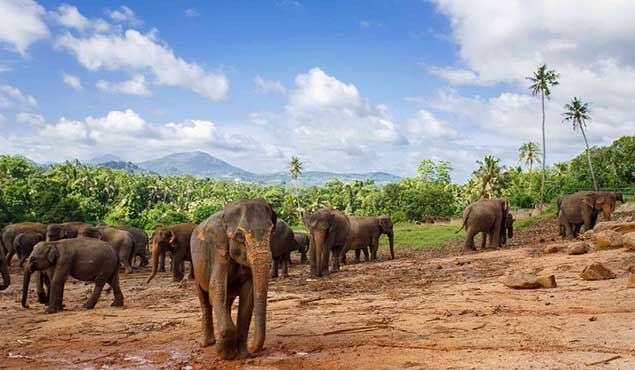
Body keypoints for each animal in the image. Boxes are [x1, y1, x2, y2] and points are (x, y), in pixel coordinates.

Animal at [190, 199, 278, 358]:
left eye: (271, 232)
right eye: (240, 236)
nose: (251, 346)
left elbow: (248, 294)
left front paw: (243, 355)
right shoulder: (218, 249)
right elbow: (216, 286)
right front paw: (225, 353)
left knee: (226, 301)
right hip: (196, 267)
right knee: (205, 299)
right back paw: (207, 343)